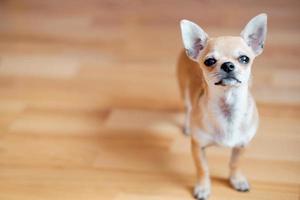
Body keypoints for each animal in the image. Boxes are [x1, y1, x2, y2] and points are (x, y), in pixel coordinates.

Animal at [178, 13, 268, 199]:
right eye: (209, 61)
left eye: (244, 59)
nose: (227, 64)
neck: (227, 107)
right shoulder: (198, 146)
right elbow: (202, 169)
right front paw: (203, 188)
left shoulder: (242, 145)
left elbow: (235, 163)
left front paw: (237, 180)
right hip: (183, 92)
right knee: (187, 108)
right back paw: (187, 126)